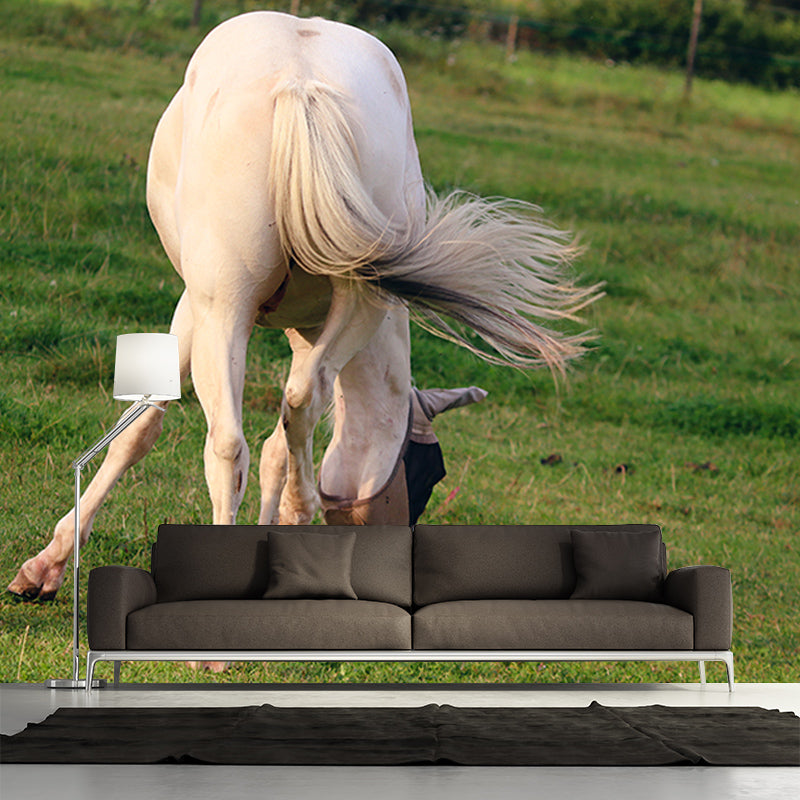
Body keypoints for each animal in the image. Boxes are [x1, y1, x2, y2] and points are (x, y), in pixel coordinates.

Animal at [8, 11, 600, 603]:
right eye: (429, 475)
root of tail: (301, 85)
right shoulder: (275, 326)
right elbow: (212, 432)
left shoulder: (205, 309)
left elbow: (167, 431)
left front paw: (47, 563)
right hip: (351, 301)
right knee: (295, 404)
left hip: (229, 309)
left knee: (232, 444)